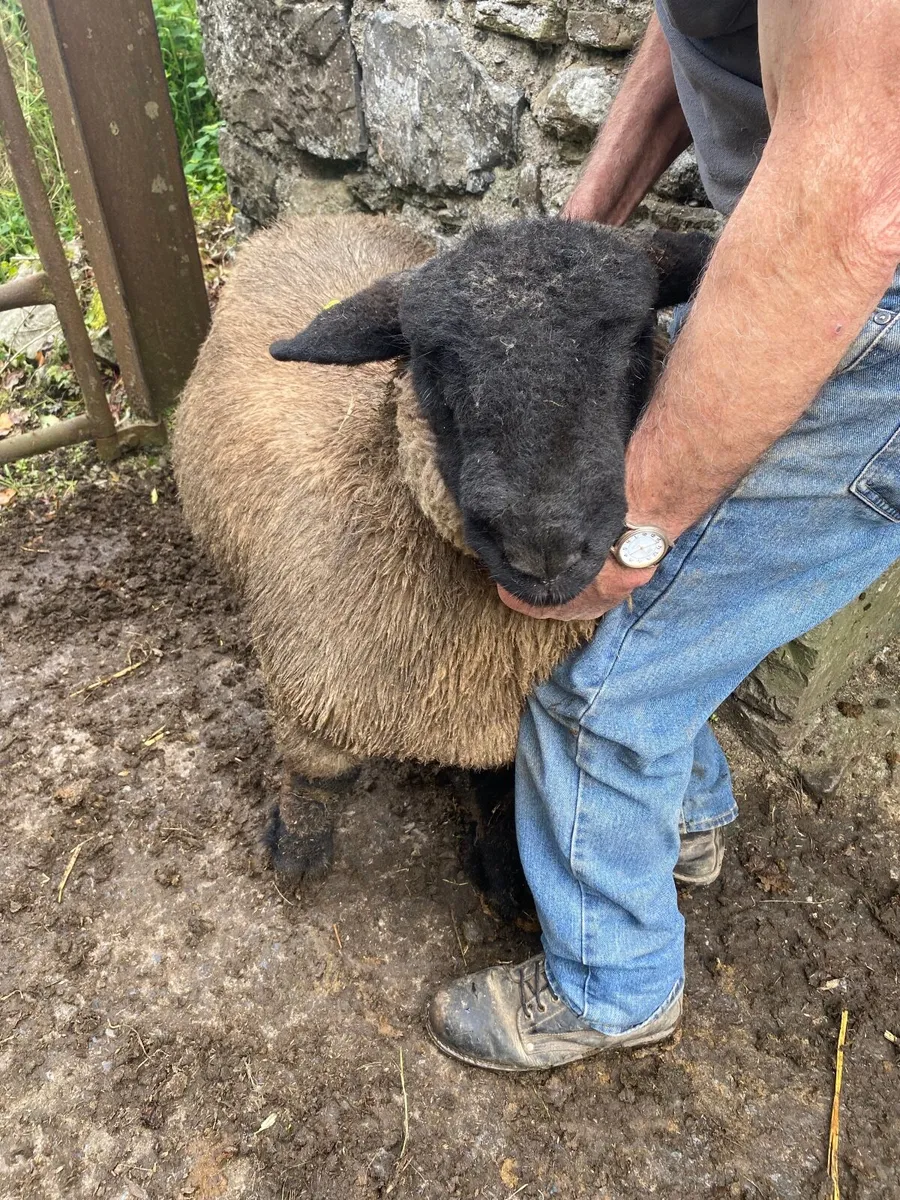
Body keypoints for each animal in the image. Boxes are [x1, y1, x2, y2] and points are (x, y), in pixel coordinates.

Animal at [173, 214, 712, 905]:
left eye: (637, 340)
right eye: (433, 359)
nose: (543, 546)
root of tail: (311, 219)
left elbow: (496, 789)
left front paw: (506, 876)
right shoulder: (314, 682)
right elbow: (315, 774)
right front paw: (298, 849)